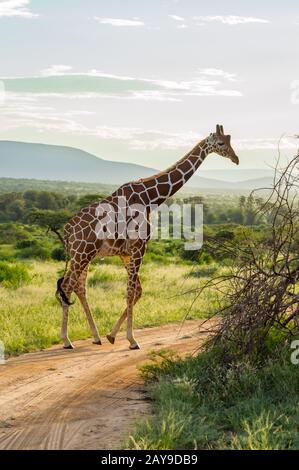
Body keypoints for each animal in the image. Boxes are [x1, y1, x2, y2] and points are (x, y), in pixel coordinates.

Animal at [56, 125, 239, 348]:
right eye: (221, 143)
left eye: (230, 140)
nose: (236, 159)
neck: (150, 198)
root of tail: (67, 230)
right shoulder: (139, 247)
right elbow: (130, 292)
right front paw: (132, 339)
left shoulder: (126, 252)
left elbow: (137, 291)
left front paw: (112, 335)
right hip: (82, 253)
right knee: (67, 286)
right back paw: (67, 340)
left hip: (84, 255)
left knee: (78, 287)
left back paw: (96, 337)